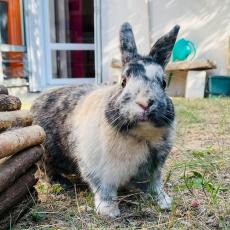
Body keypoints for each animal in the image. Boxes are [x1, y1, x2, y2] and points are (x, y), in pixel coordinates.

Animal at [30, 22, 181, 218]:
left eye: (163, 83)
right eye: (123, 82)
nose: (145, 103)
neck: (138, 134)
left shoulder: (153, 171)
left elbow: (154, 187)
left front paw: (164, 202)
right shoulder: (99, 172)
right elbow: (105, 191)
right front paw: (109, 212)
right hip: (44, 157)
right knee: (47, 174)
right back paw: (62, 184)